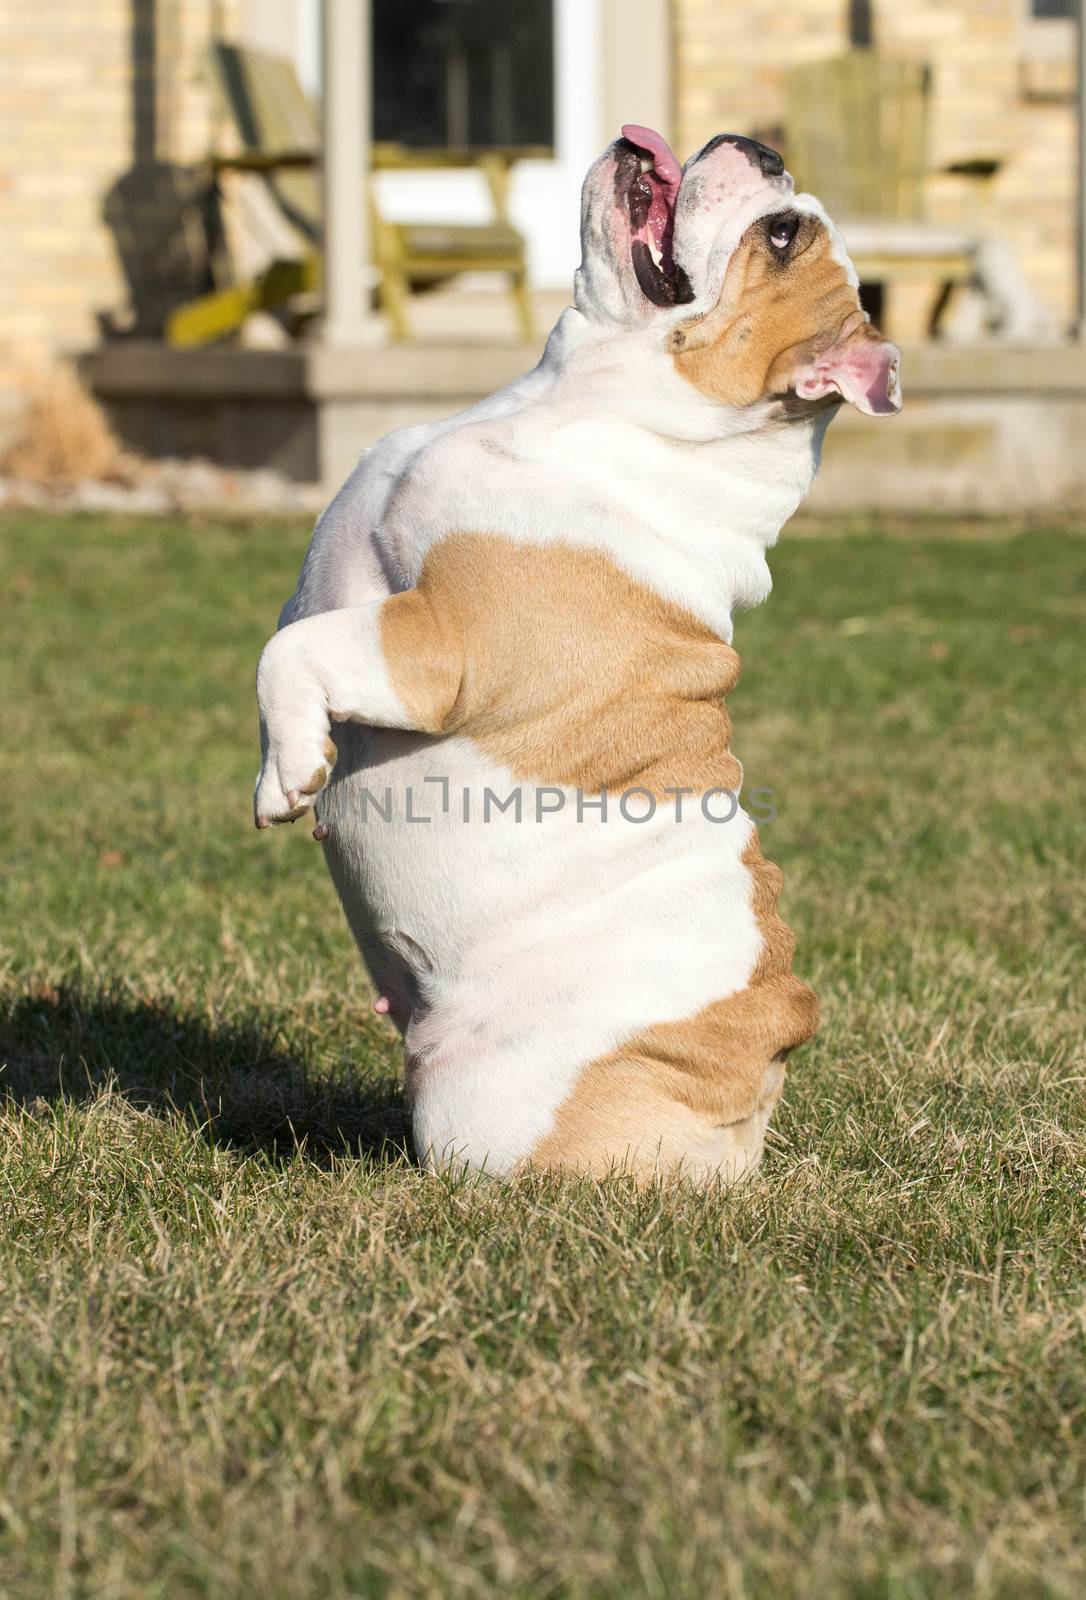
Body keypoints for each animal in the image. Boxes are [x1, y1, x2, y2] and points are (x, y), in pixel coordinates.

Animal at [254, 124, 902, 1184]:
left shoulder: (439, 647)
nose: (755, 143)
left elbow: (292, 652)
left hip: (484, 1108)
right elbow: (283, 640)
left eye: (779, 237)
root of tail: (747, 1096)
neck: (573, 395)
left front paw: (291, 776)